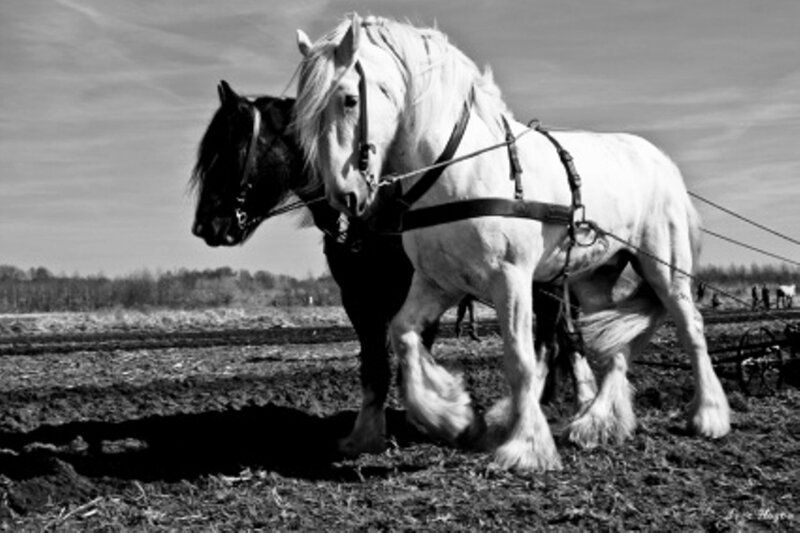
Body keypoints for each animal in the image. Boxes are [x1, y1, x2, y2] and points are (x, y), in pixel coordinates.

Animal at [189, 80, 595, 458]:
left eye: (232, 151)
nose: (205, 227)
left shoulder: (420, 288)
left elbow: (412, 354)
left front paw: (437, 417)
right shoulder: (357, 297)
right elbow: (375, 366)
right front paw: (367, 434)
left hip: (545, 286)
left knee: (553, 342)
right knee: (562, 339)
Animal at [294, 14, 730, 471]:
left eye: (348, 100)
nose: (343, 198)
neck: (459, 170)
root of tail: (662, 162)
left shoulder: (511, 279)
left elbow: (519, 358)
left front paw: (525, 447)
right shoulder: (438, 282)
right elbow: (403, 334)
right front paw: (453, 417)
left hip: (664, 267)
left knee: (690, 327)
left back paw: (708, 416)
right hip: (594, 277)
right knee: (611, 346)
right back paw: (596, 424)